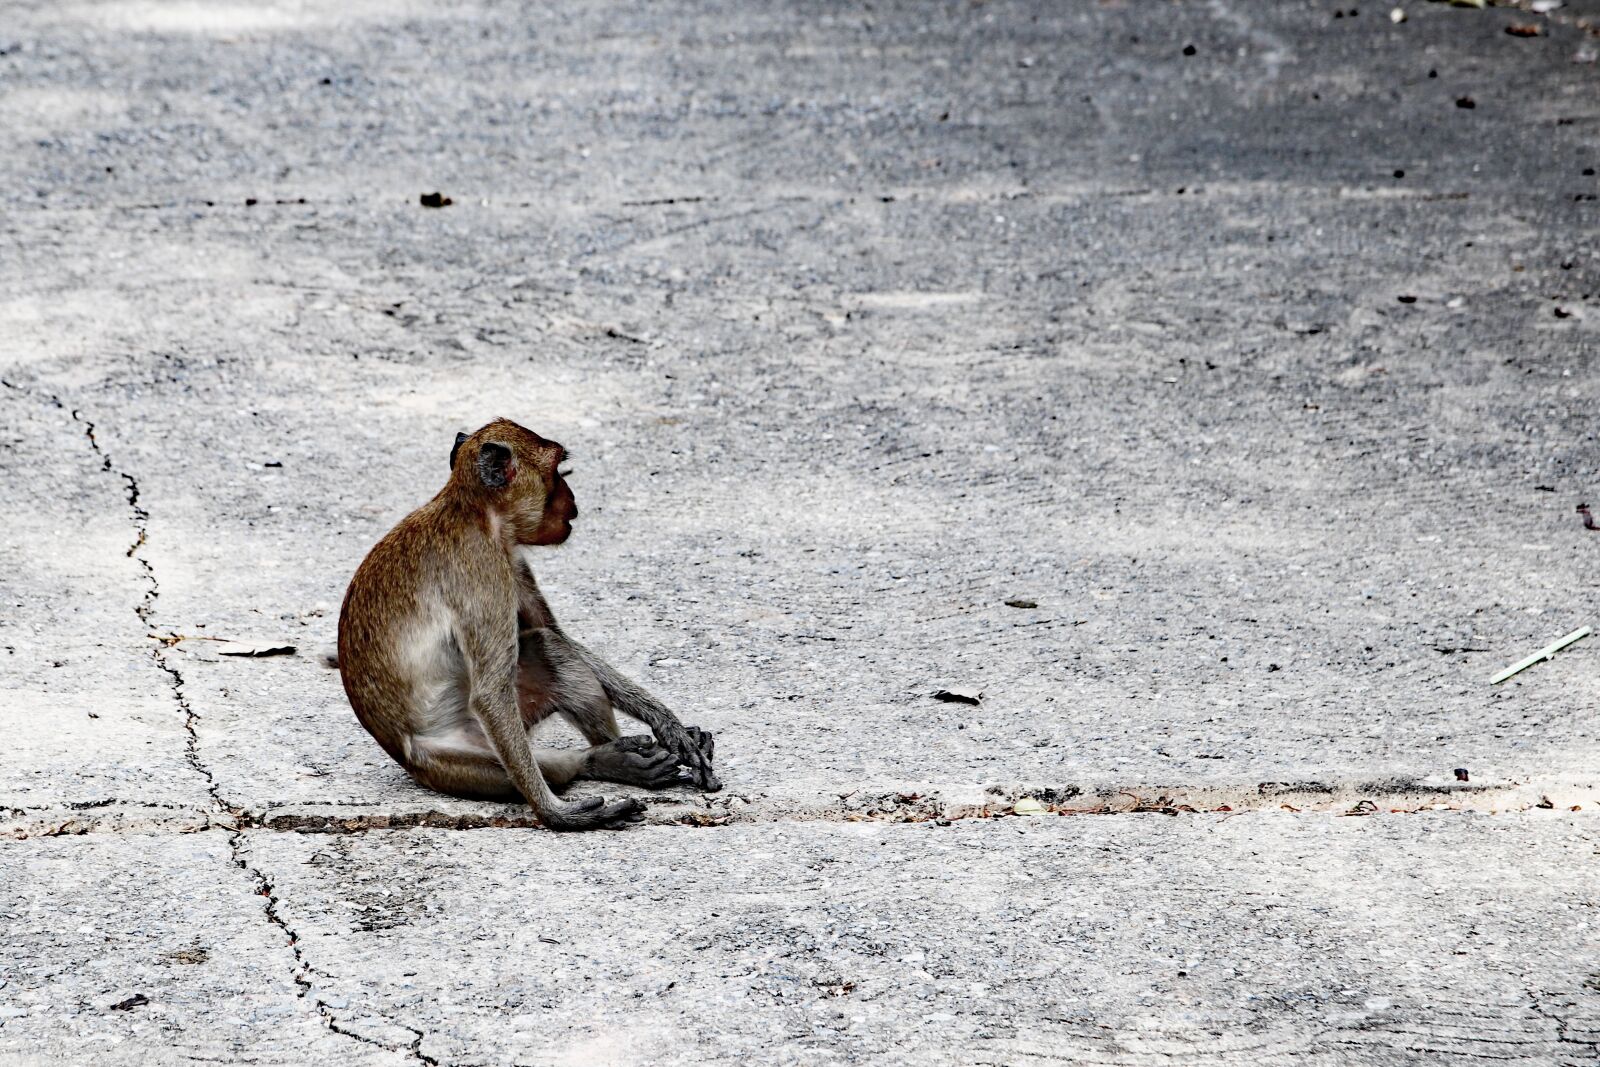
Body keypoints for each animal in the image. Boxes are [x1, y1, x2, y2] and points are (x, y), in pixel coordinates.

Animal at [336, 418, 719, 831]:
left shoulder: (512, 559)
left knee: (550, 648)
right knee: (543, 761)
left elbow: (556, 633)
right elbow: (490, 692)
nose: (572, 497)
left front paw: (670, 725)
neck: (475, 513)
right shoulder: (483, 570)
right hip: (450, 759)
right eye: (557, 469)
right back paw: (590, 766)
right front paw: (556, 814)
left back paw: (609, 756)